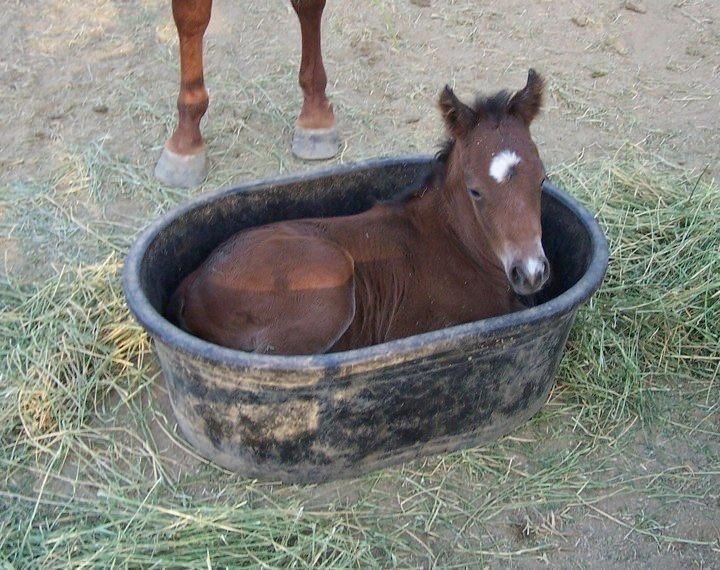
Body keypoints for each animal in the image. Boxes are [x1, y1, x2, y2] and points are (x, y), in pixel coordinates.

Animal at [169, 70, 550, 355]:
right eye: (475, 190)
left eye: (542, 179)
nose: (530, 272)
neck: (458, 245)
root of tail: (192, 282)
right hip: (327, 278)